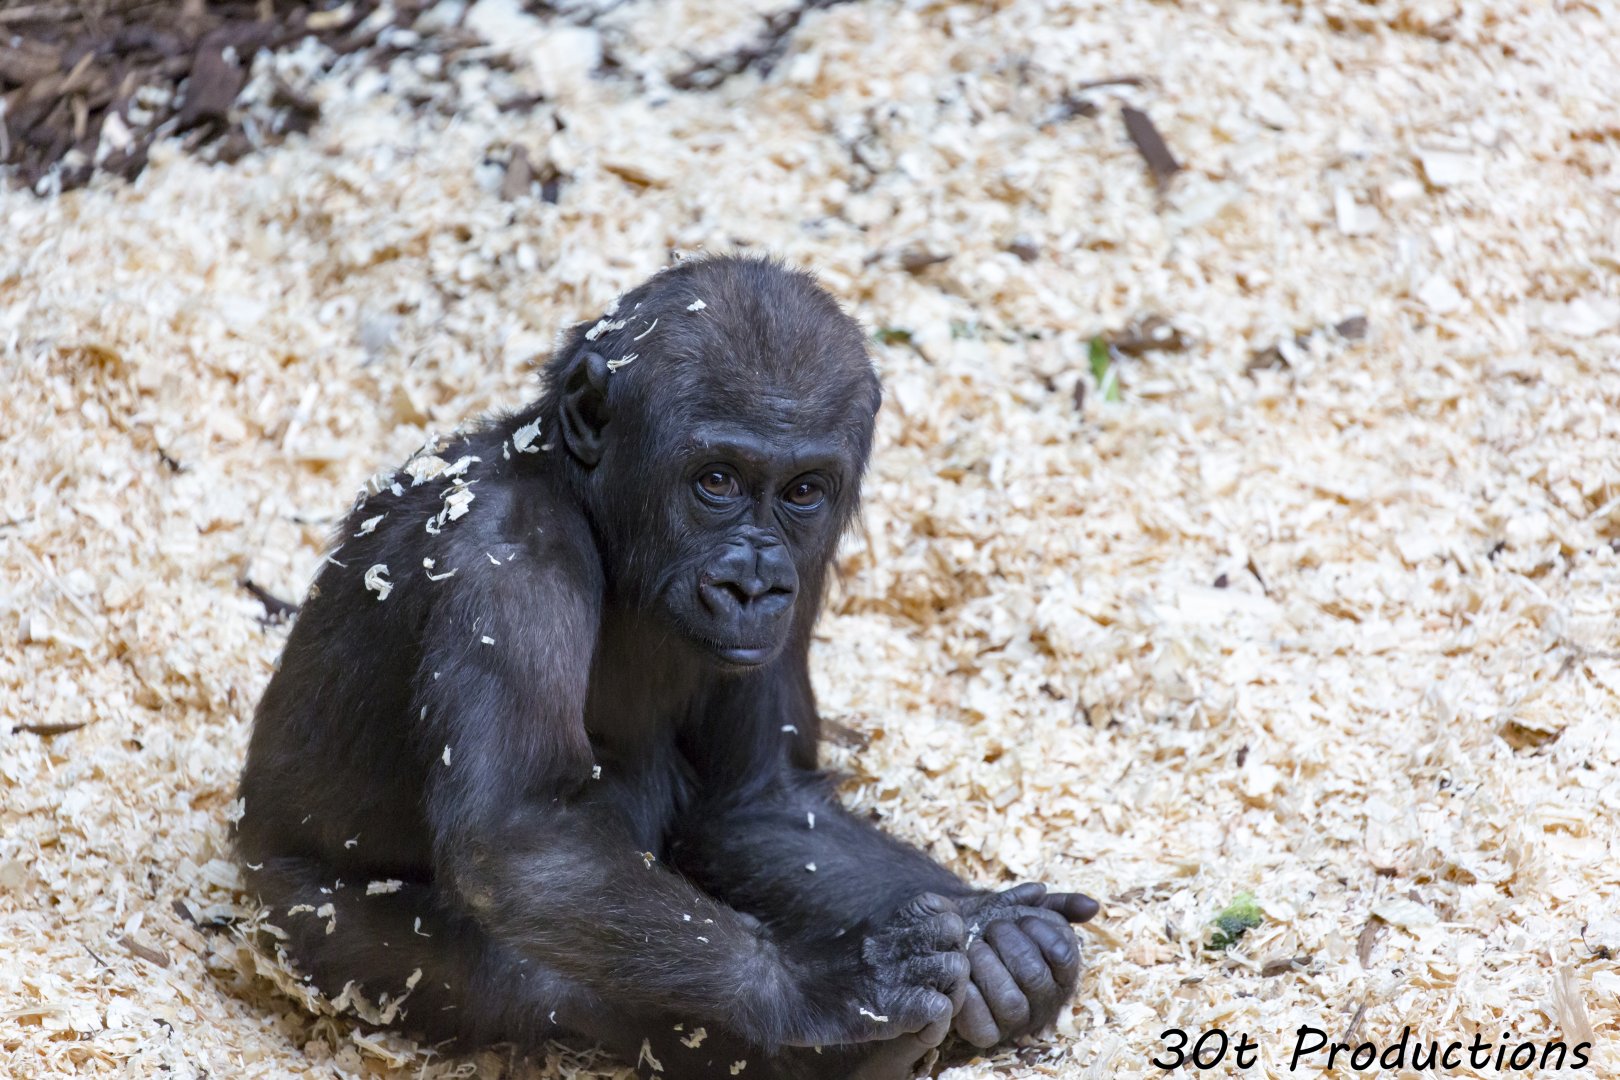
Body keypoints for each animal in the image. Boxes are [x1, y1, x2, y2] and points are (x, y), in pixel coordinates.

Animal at [235, 254, 1097, 1078]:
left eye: (803, 491)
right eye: (715, 480)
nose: (752, 583)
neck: (582, 499)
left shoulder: (806, 572)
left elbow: (758, 803)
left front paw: (994, 934)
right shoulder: (504, 552)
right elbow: (519, 837)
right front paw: (821, 993)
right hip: (297, 928)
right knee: (518, 961)